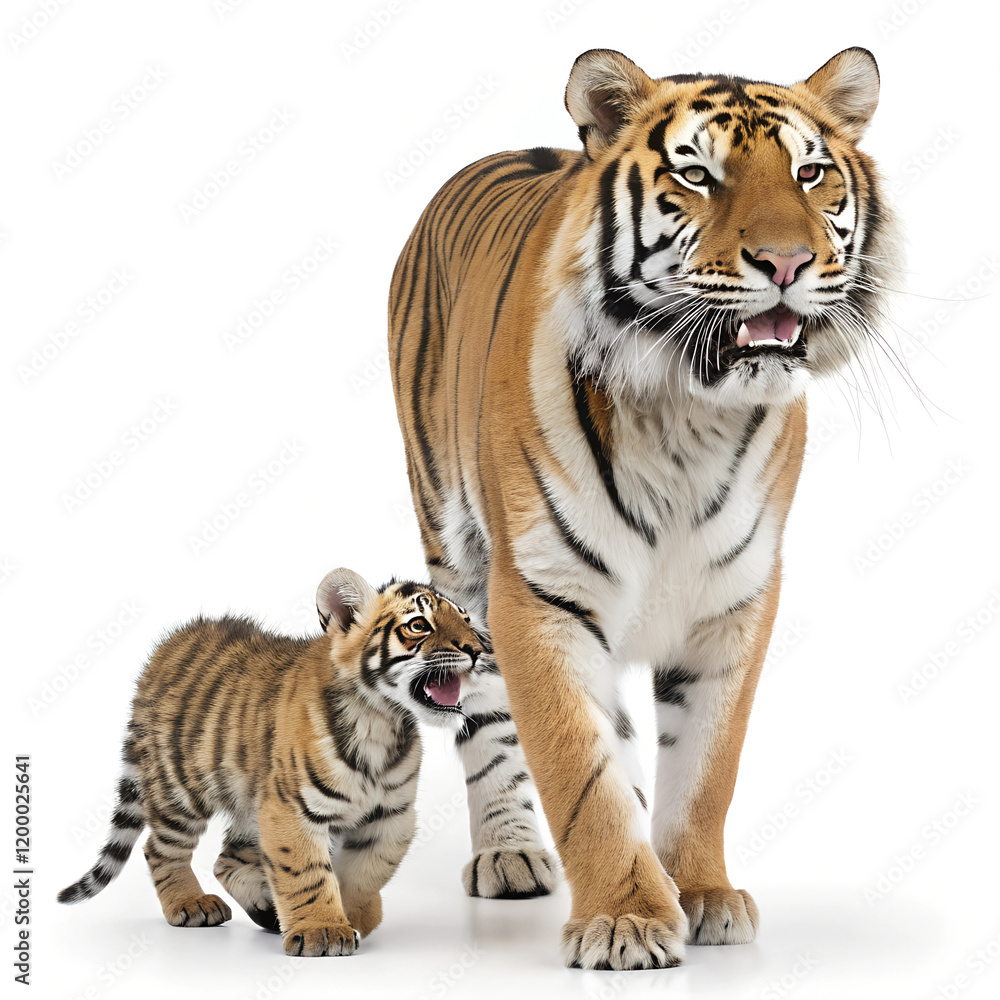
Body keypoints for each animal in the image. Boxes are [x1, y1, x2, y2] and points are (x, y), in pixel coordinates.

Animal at [57, 568, 485, 957]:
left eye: (466, 620)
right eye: (419, 624)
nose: (477, 649)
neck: (381, 719)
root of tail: (166, 646)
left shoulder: (391, 815)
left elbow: (366, 872)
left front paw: (354, 916)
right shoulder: (291, 808)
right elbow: (307, 872)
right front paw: (323, 931)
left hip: (251, 803)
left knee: (226, 859)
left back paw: (265, 910)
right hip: (182, 789)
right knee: (161, 848)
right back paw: (190, 903)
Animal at [388, 47, 897, 970]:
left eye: (810, 174)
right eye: (697, 175)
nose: (786, 263)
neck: (690, 408)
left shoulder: (736, 599)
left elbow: (703, 768)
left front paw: (698, 893)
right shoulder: (540, 597)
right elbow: (577, 769)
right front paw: (625, 917)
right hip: (453, 543)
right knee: (484, 715)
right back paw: (510, 852)